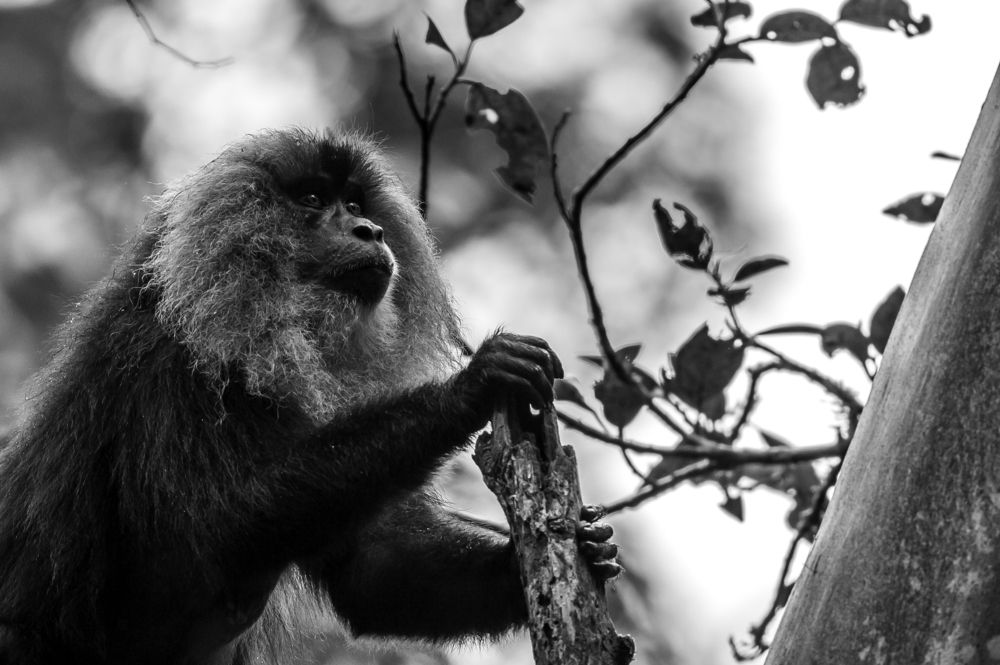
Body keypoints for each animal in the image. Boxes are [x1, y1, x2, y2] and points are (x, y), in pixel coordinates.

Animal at [0, 129, 619, 665]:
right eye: (316, 199)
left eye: (356, 201)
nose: (370, 230)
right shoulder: (167, 363)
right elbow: (217, 529)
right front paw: (471, 387)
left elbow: (374, 572)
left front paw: (578, 550)